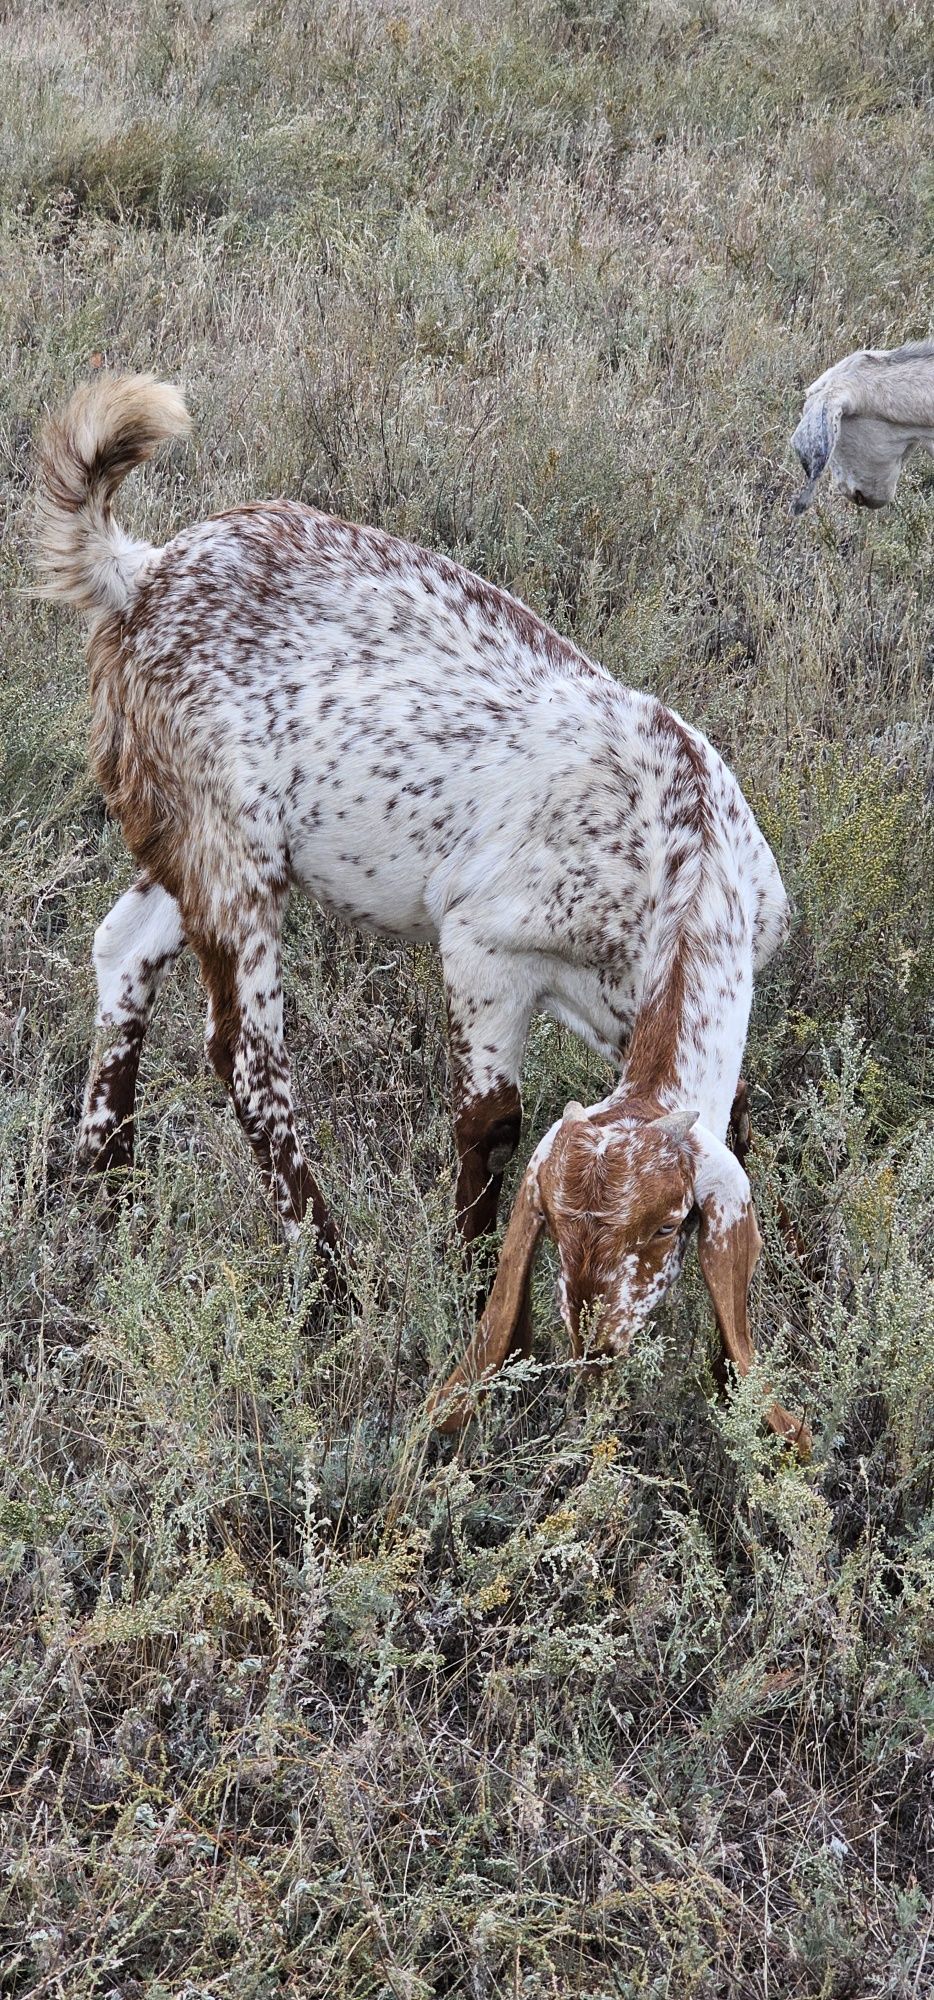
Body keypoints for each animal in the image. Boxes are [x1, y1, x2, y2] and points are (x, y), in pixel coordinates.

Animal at [36, 376, 812, 1456]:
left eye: (667, 1226)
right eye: (556, 1223)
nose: (595, 1344)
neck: (681, 862)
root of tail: (141, 574)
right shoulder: (484, 948)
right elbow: (491, 1124)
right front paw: (475, 1297)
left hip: (184, 828)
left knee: (122, 947)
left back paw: (104, 1185)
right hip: (230, 843)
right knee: (247, 1056)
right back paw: (328, 1282)